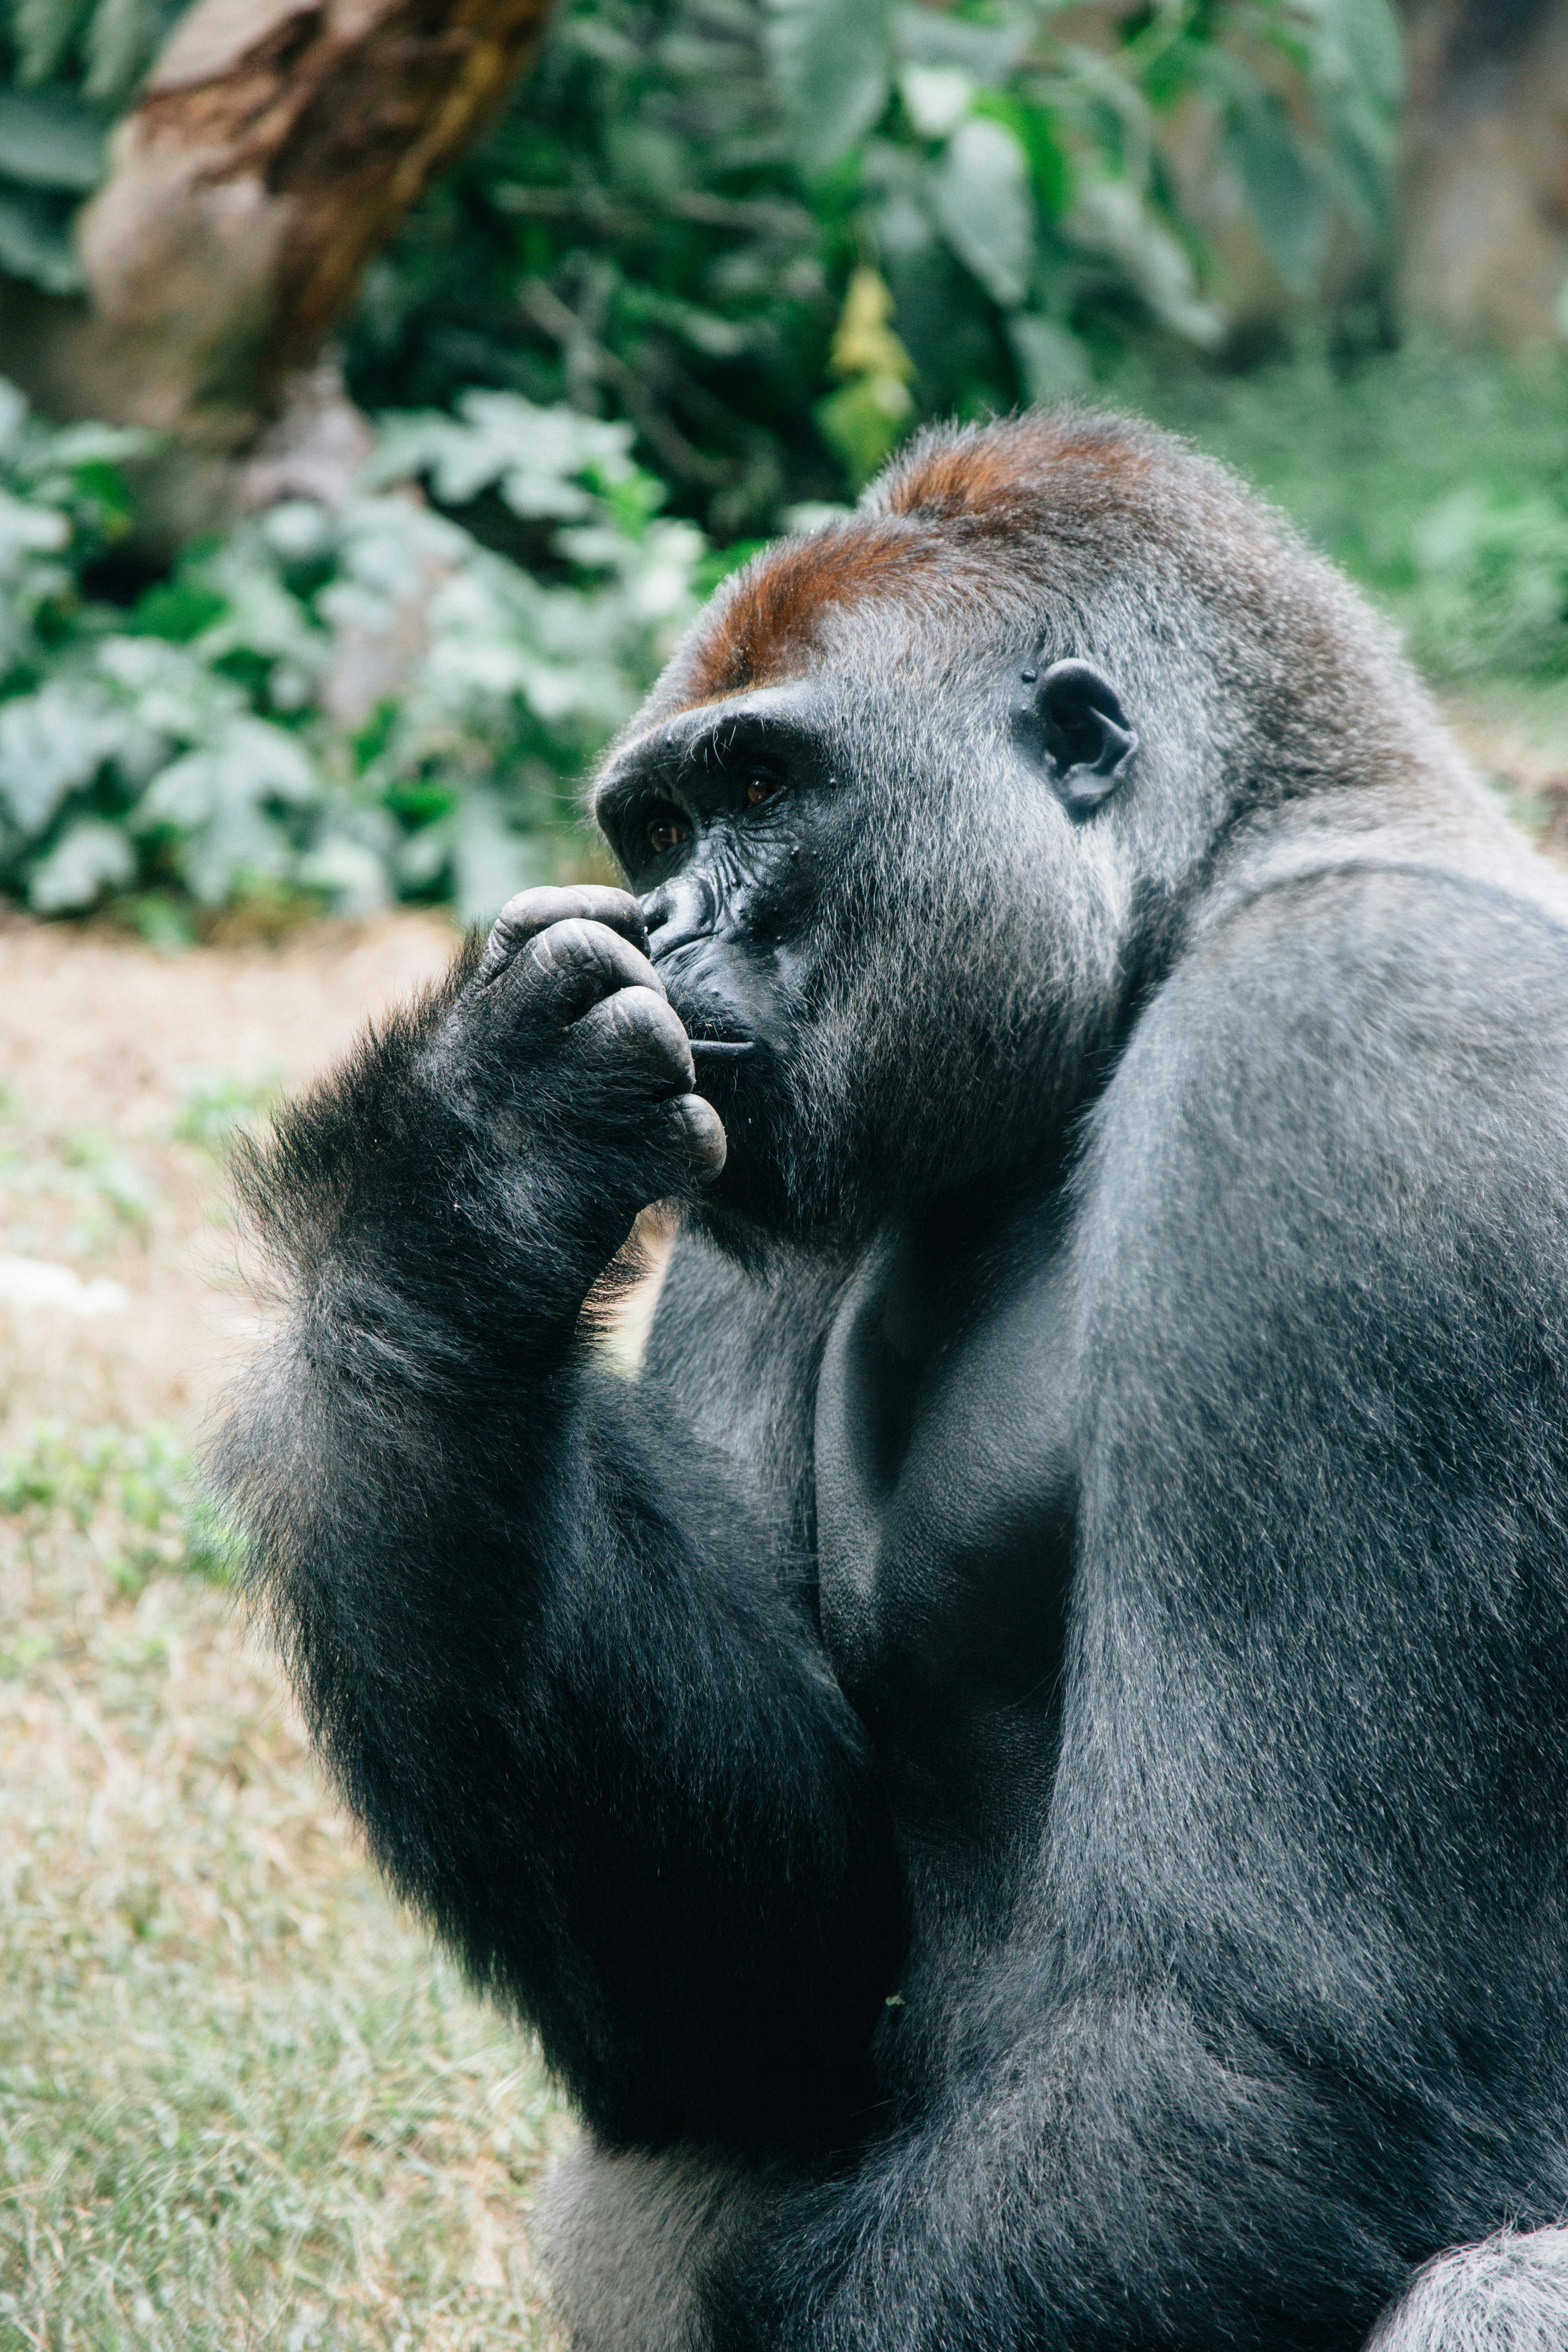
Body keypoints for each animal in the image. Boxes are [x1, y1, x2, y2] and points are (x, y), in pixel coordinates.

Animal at [218, 410, 1568, 2350]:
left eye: (764, 790)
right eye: (658, 824)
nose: (672, 920)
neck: (1211, 885)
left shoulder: (1354, 1053)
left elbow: (1259, 2038)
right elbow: (765, 1978)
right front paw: (458, 1203)